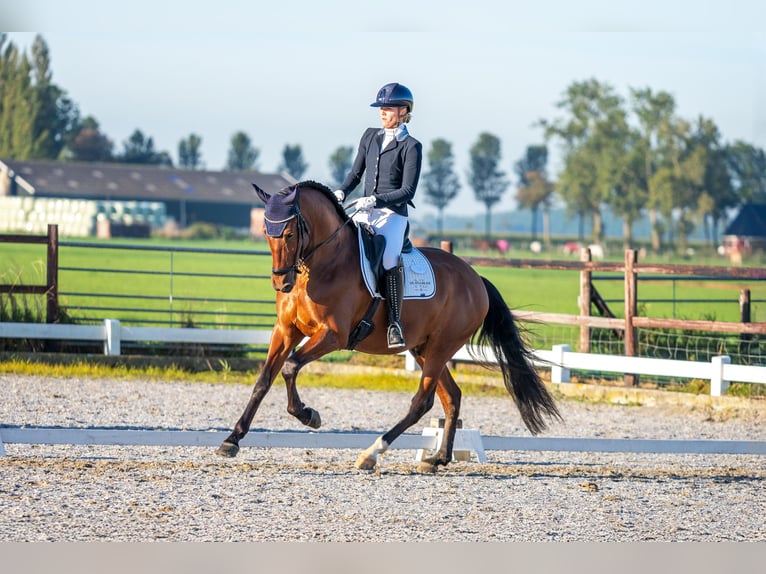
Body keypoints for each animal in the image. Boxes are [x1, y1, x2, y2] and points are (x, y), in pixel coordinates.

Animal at [218, 182, 564, 474]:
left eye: (289, 234)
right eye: (267, 232)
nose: (282, 283)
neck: (320, 266)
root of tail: (475, 278)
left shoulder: (333, 335)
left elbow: (290, 367)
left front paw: (308, 415)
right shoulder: (287, 330)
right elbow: (264, 380)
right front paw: (231, 440)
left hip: (440, 348)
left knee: (422, 401)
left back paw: (372, 453)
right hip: (425, 348)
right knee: (451, 396)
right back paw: (438, 459)